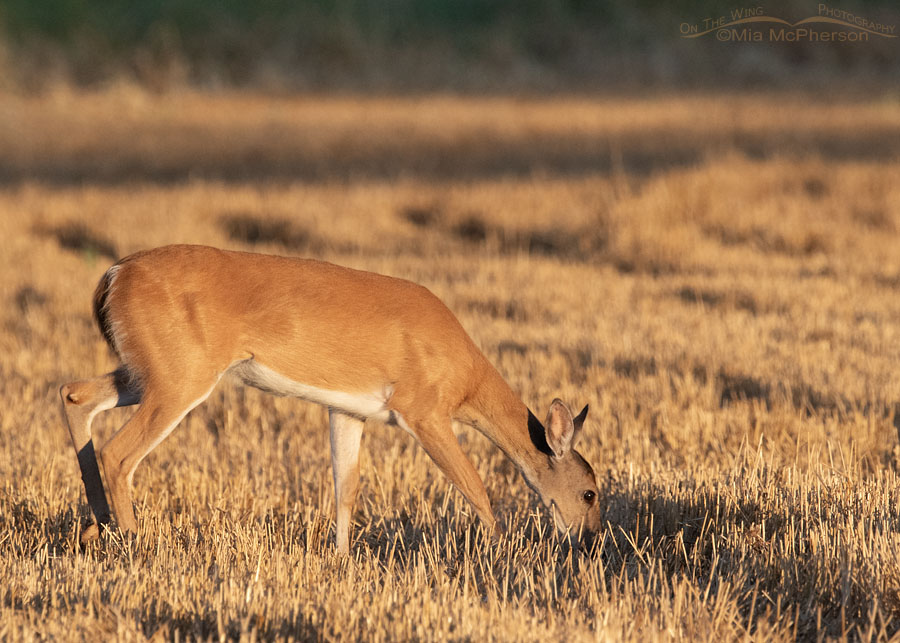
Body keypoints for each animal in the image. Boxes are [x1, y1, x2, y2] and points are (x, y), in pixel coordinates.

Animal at [61, 247, 596, 552]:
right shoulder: (423, 410)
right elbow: (476, 487)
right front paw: (502, 554)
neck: (464, 375)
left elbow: (346, 489)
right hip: (181, 377)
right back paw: (133, 545)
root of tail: (113, 274)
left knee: (74, 395)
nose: (586, 538)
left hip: (148, 370)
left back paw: (95, 528)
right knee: (119, 452)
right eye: (591, 492)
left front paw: (341, 559)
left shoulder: (348, 411)